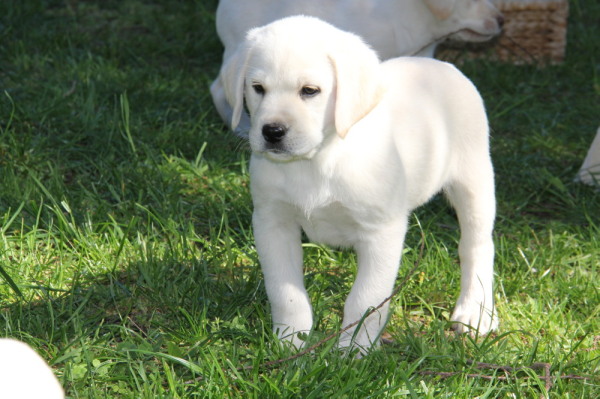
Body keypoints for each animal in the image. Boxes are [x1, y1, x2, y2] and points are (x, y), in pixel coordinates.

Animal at [220, 15, 496, 354]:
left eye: (309, 91)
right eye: (257, 88)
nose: (272, 132)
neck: (318, 160)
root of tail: (440, 65)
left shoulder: (382, 233)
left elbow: (365, 298)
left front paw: (354, 349)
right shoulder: (272, 222)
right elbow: (285, 292)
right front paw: (291, 341)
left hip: (474, 181)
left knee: (476, 246)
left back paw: (476, 311)